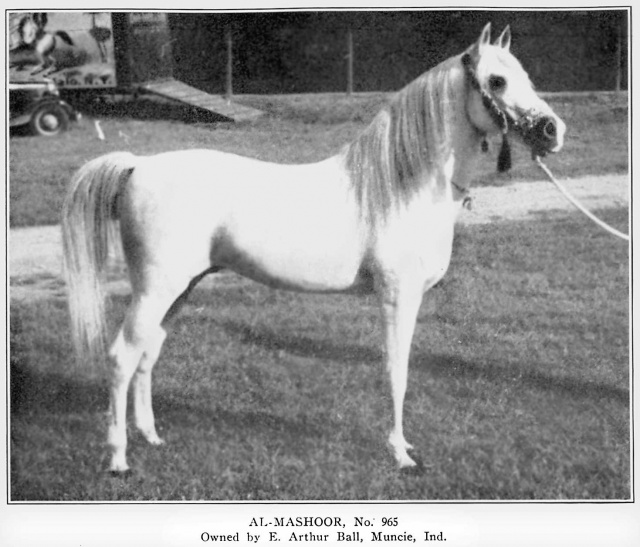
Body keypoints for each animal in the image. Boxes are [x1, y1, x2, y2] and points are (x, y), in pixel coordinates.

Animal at [61, 23, 564, 474]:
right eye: (497, 81)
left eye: (526, 76)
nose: (552, 131)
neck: (399, 185)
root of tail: (137, 166)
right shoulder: (397, 297)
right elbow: (396, 371)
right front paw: (400, 455)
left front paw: (403, 445)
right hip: (155, 290)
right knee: (122, 356)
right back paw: (119, 458)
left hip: (180, 290)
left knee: (148, 353)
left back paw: (151, 436)